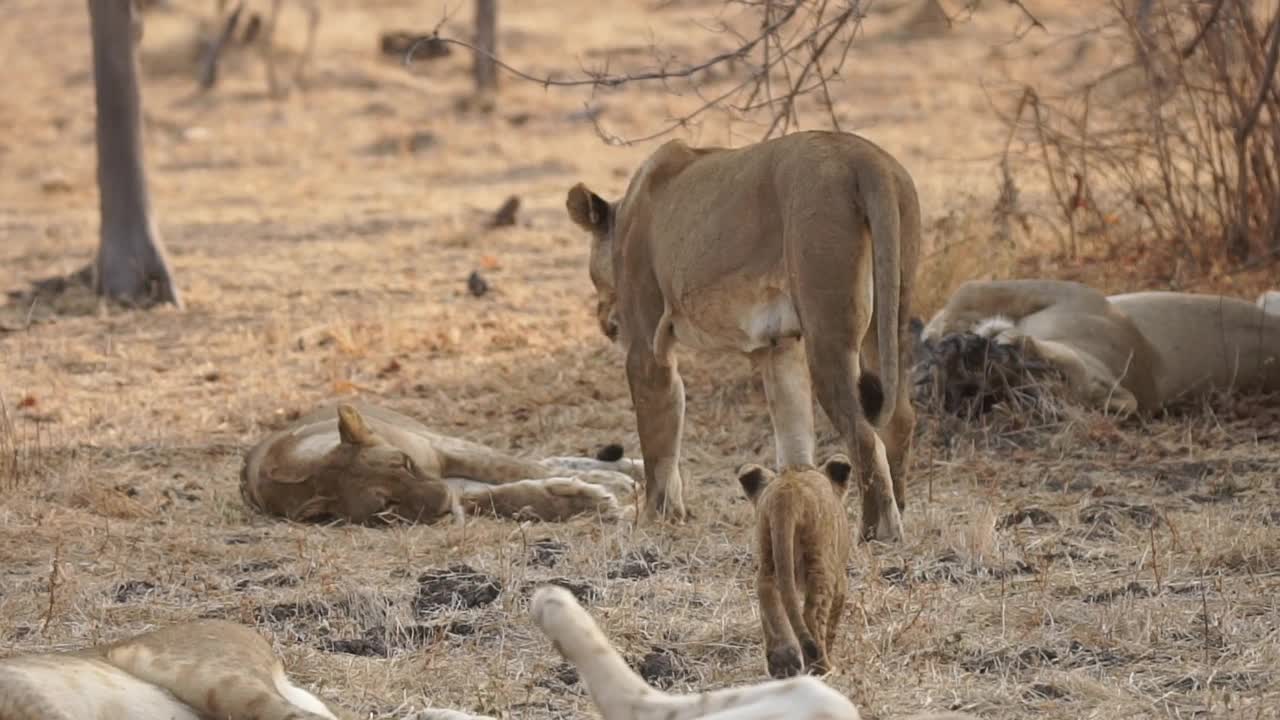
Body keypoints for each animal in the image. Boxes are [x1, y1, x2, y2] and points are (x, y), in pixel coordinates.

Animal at [240, 399, 640, 525]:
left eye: (404, 463)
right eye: (387, 507)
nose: (445, 506)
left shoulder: (443, 451)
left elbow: (521, 470)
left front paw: (609, 489)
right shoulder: (452, 485)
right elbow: (503, 496)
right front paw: (585, 501)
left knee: (537, 459)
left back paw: (628, 471)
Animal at [568, 128, 921, 538]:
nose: (602, 319)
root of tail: (864, 158)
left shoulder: (646, 345)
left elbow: (659, 439)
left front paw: (657, 519)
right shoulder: (779, 346)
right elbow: (794, 438)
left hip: (828, 328)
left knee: (863, 432)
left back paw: (878, 532)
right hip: (889, 313)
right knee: (899, 418)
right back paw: (900, 510)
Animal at [737, 450, 855, 676]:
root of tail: (786, 494)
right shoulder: (840, 579)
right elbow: (832, 622)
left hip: (769, 552)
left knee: (767, 593)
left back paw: (784, 662)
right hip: (821, 560)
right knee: (811, 615)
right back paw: (824, 667)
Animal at [921, 280, 1280, 415]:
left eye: (1056, 380)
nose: (989, 360)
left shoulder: (1074, 294)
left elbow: (969, 290)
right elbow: (970, 292)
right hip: (1268, 297)